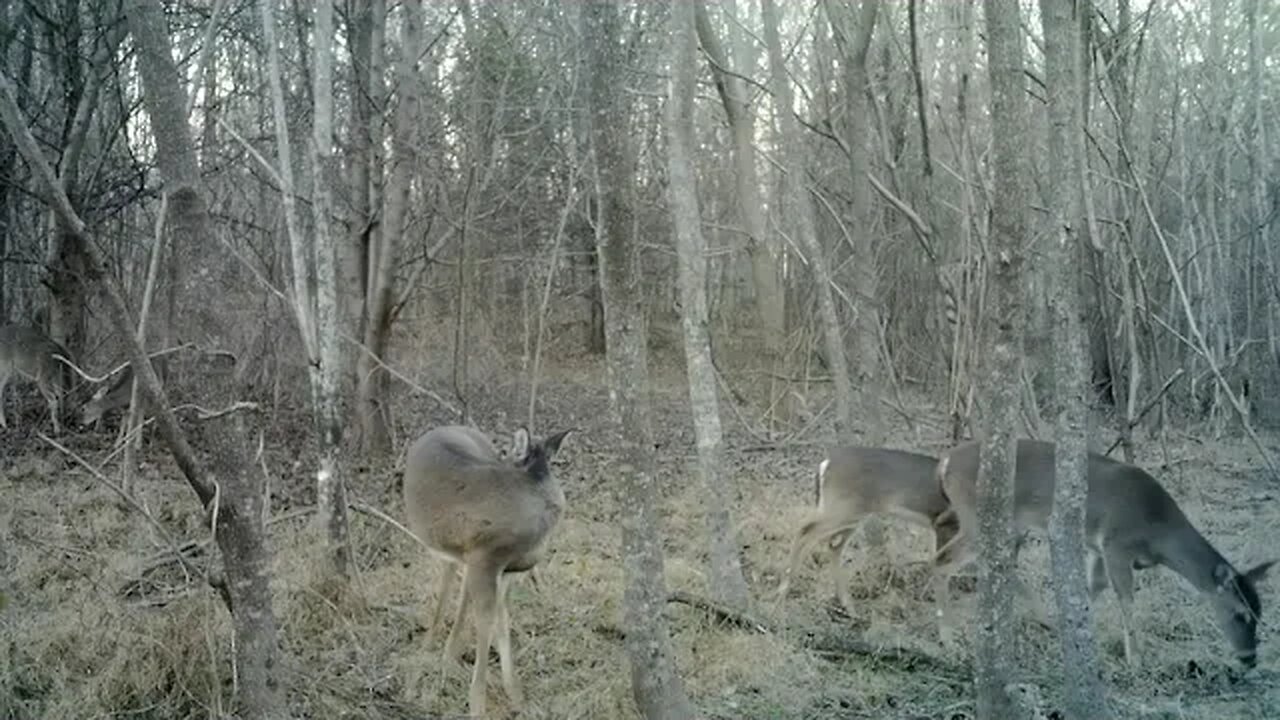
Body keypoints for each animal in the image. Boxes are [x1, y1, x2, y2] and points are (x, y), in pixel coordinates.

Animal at [403, 424, 572, 718]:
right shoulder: (486, 558)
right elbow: (486, 624)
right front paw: (477, 704)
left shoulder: (506, 572)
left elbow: (502, 624)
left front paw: (516, 697)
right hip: (454, 552)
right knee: (446, 595)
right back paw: (424, 670)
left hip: (461, 556)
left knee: (458, 594)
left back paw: (446, 659)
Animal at [776, 446, 960, 617]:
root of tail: (825, 464)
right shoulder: (946, 524)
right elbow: (943, 566)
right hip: (843, 509)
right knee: (806, 531)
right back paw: (782, 593)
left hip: (851, 514)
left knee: (834, 545)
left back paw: (849, 607)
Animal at [932, 437, 1275, 668]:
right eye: (1240, 613)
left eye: (1260, 613)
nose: (1250, 659)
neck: (1158, 530)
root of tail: (945, 461)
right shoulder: (1116, 545)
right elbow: (1125, 598)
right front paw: (1136, 659)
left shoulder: (1097, 548)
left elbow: (1091, 589)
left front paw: (1074, 635)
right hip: (980, 517)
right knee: (943, 561)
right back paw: (948, 639)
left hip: (1009, 527)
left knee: (992, 563)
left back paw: (1041, 618)